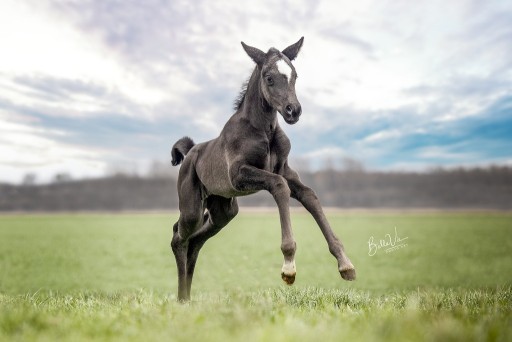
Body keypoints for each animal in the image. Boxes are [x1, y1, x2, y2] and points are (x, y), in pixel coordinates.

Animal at [170, 36, 354, 300]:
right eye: (269, 77)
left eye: (295, 74)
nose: (293, 110)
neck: (264, 130)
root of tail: (190, 152)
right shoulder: (239, 174)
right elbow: (280, 187)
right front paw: (288, 267)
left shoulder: (285, 170)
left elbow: (309, 195)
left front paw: (345, 264)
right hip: (193, 209)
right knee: (178, 237)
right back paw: (181, 298)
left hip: (223, 211)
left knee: (195, 242)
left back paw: (187, 298)